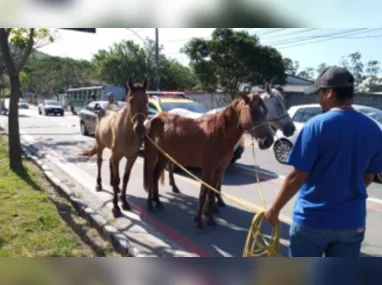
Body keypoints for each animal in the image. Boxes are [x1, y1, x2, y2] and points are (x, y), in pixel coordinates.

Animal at [79, 77, 148, 215]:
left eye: (146, 100)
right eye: (131, 100)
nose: (139, 129)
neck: (128, 133)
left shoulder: (132, 157)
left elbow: (125, 178)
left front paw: (124, 201)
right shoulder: (117, 156)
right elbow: (117, 179)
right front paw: (115, 207)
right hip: (100, 145)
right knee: (100, 162)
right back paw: (99, 185)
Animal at [143, 92, 274, 230]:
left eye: (266, 111)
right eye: (253, 112)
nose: (268, 141)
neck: (219, 133)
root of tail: (152, 119)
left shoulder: (219, 169)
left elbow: (211, 193)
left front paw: (210, 218)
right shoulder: (207, 169)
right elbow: (203, 193)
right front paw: (198, 221)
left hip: (164, 156)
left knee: (156, 175)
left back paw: (158, 202)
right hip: (152, 155)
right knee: (151, 175)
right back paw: (150, 205)